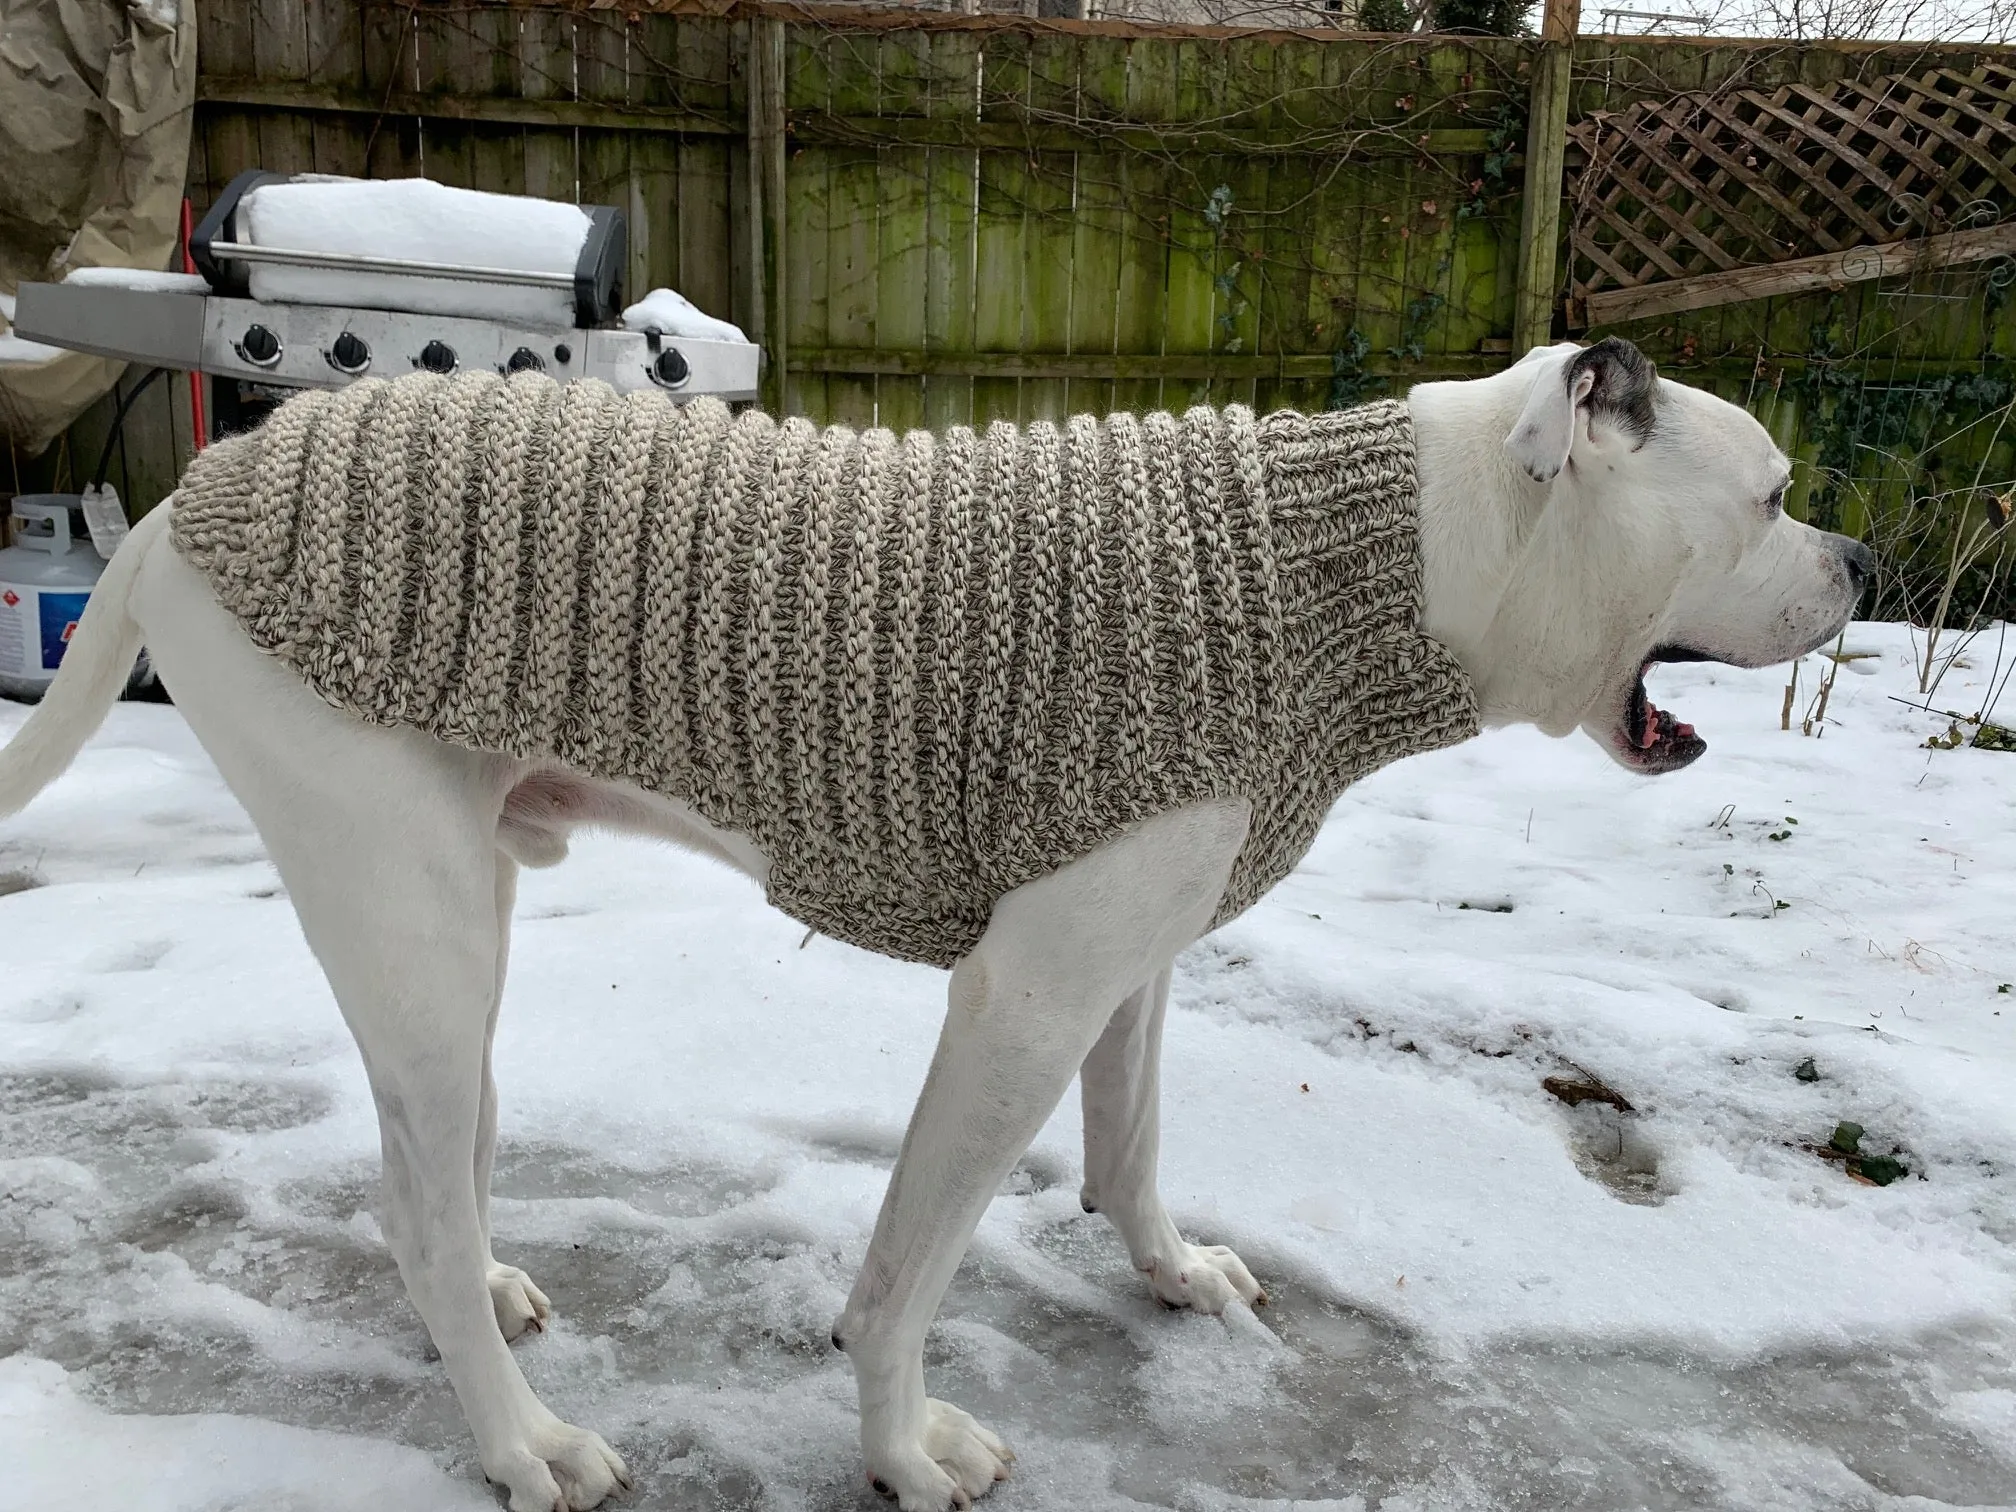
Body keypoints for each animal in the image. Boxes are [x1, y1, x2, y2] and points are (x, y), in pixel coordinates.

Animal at [0, 336, 1870, 1507]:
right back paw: (525, 1444)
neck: (1384, 559)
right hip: (426, 931)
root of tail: (191, 500)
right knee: (427, 1212)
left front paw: (1168, 1272)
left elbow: (1132, 1142)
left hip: (452, 934)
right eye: (1776, 496)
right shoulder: (1020, 1005)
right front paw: (902, 1451)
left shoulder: (1129, 967)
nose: (1860, 565)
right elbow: (904, 1276)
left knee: (424, 1186)